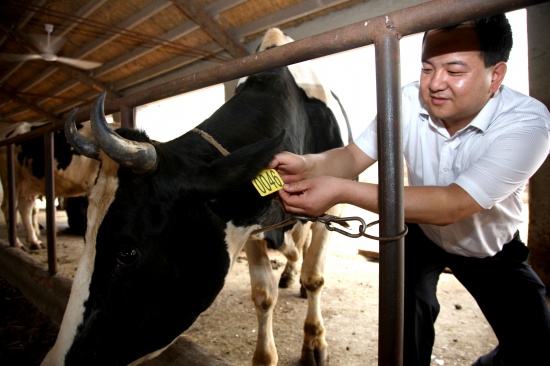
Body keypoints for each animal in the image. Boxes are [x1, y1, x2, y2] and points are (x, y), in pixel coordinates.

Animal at [43, 28, 348, 366]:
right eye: (87, 233)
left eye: (128, 253)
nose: (54, 361)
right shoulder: (248, 221)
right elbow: (263, 295)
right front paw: (265, 354)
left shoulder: (331, 205)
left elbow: (315, 277)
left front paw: (314, 342)